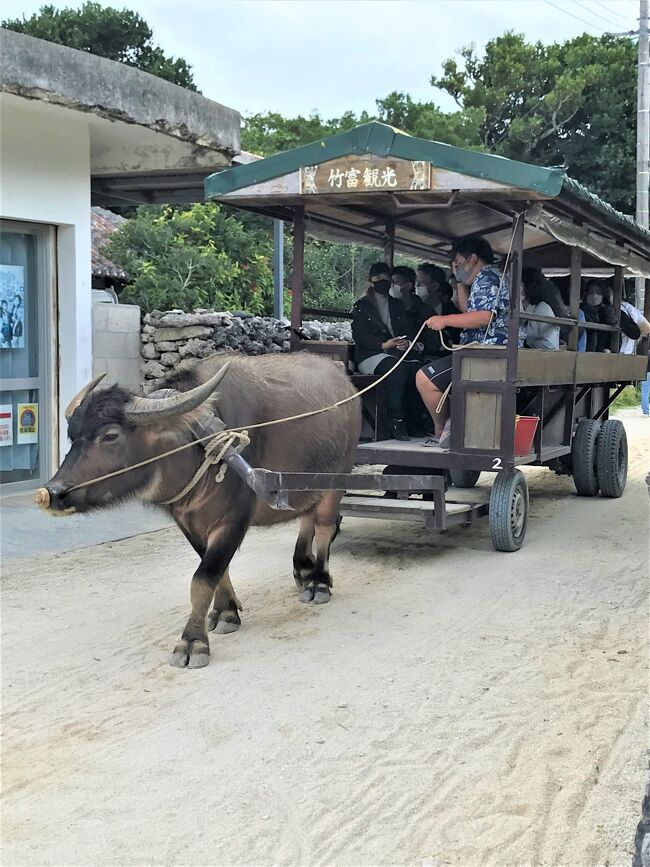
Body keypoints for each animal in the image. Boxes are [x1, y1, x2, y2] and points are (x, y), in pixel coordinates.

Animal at [38, 356, 362, 668]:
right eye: (71, 434)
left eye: (110, 436)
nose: (53, 493)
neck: (198, 447)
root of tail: (344, 382)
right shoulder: (188, 521)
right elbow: (217, 569)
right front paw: (225, 612)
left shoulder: (235, 518)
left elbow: (203, 577)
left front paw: (193, 642)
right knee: (306, 516)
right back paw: (303, 568)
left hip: (338, 480)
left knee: (323, 525)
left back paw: (319, 581)